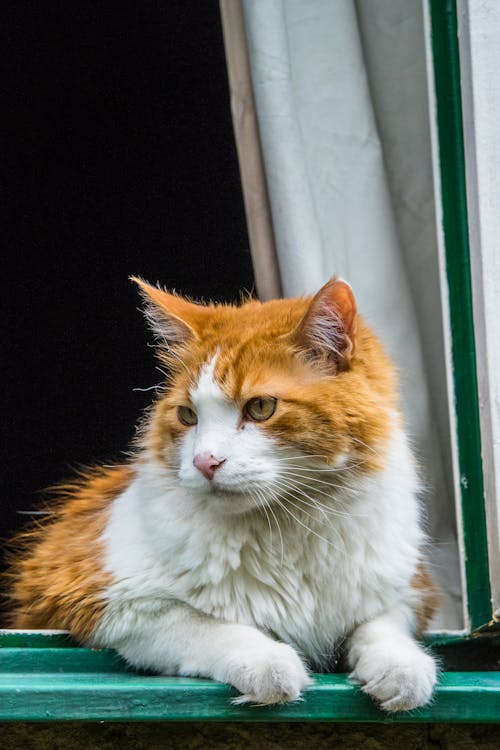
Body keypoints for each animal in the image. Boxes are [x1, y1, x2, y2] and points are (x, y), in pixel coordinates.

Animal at [7, 280, 438, 712]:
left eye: (261, 407)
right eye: (187, 416)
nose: (205, 461)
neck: (286, 527)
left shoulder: (409, 591)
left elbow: (382, 630)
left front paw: (402, 670)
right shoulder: (111, 601)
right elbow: (214, 629)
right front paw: (270, 665)